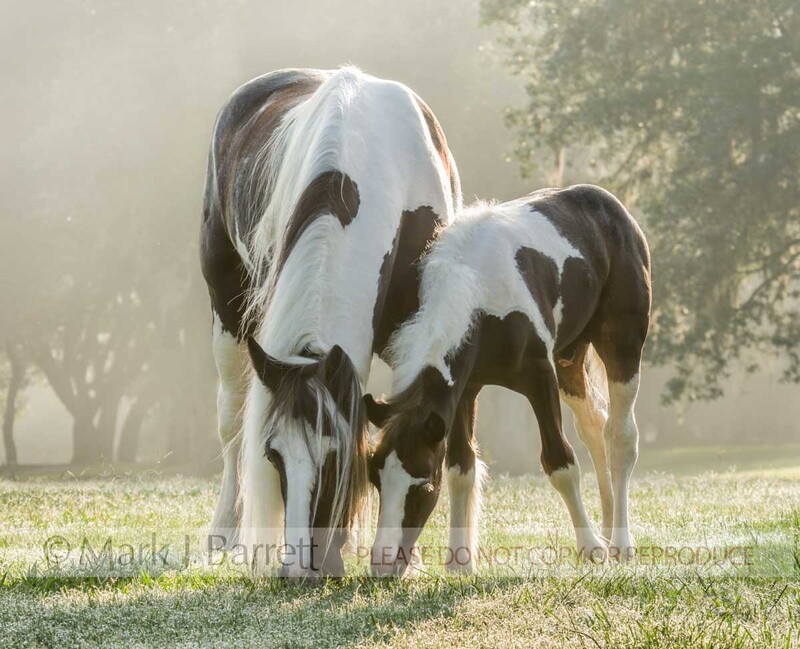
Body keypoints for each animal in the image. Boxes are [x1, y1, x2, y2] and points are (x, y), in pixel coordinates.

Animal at [200, 67, 461, 576]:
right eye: (274, 456)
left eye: (337, 456)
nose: (301, 567)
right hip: (227, 316)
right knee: (230, 423)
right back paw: (226, 532)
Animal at [363, 185, 651, 576]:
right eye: (375, 478)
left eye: (422, 485)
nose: (382, 564)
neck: (478, 292)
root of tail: (609, 205)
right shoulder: (465, 391)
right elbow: (461, 467)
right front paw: (460, 561)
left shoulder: (539, 377)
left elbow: (560, 462)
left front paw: (591, 549)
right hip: (569, 359)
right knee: (595, 427)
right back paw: (607, 528)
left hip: (622, 345)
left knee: (620, 436)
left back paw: (618, 543)